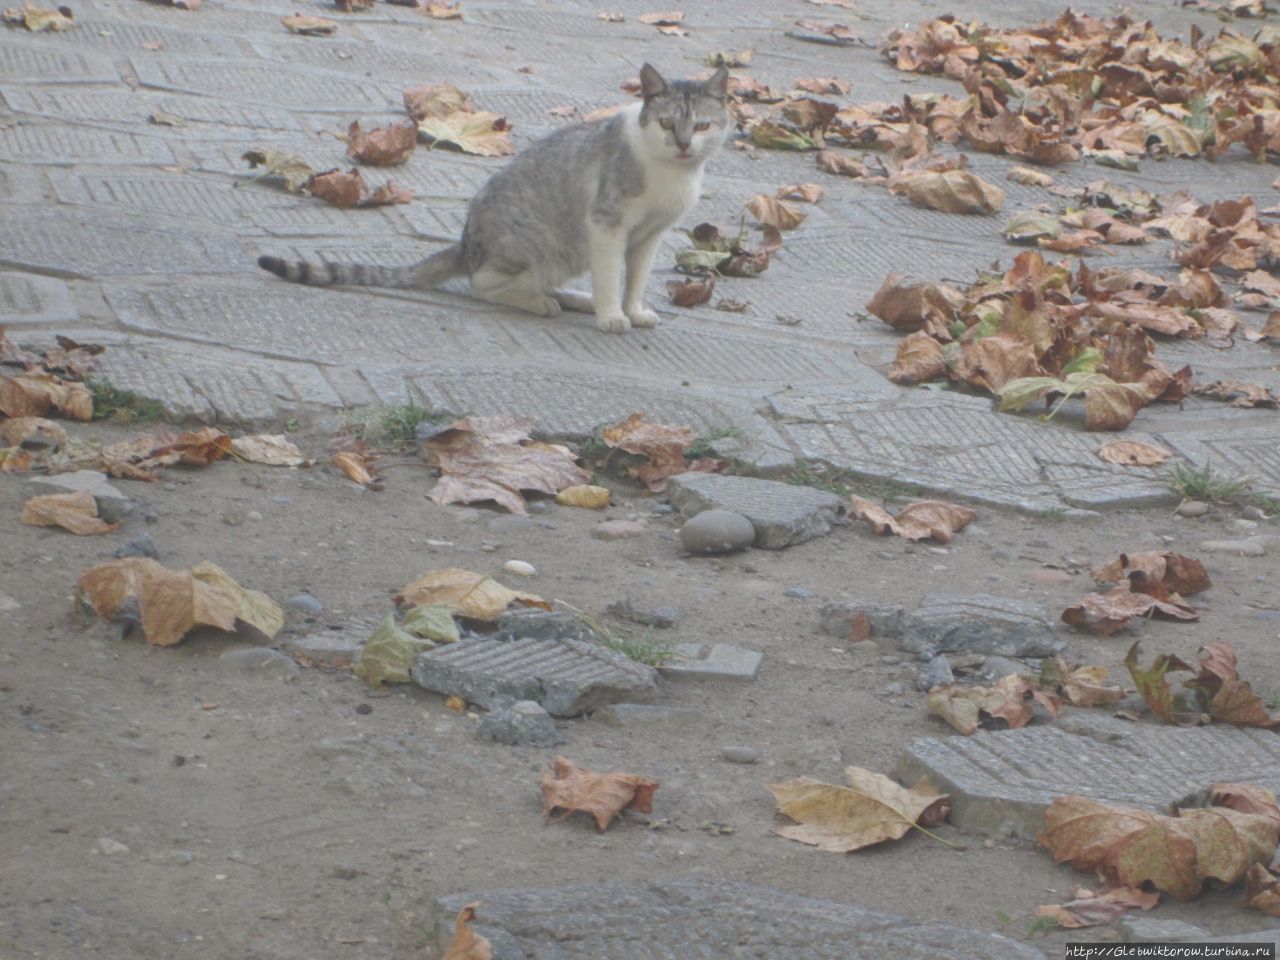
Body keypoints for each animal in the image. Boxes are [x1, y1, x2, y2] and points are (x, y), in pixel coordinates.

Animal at [257, 63, 732, 335]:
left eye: (702, 126)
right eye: (668, 125)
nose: (684, 145)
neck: (673, 174)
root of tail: (467, 243)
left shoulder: (648, 235)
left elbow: (634, 278)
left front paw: (630, 309)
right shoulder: (607, 225)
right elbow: (610, 275)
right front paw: (611, 314)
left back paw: (572, 299)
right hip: (543, 246)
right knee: (484, 283)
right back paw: (543, 302)